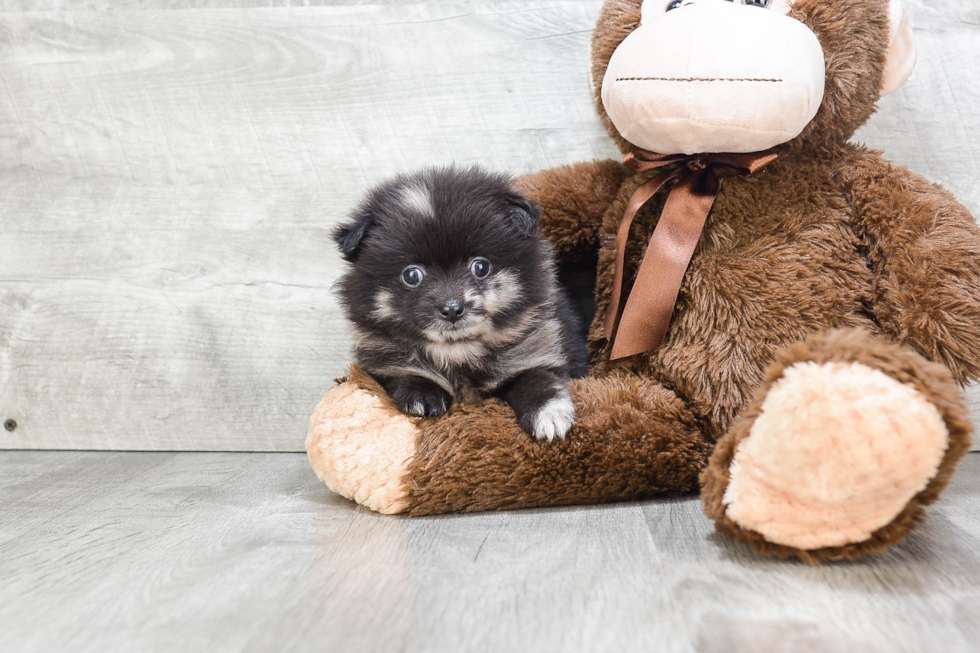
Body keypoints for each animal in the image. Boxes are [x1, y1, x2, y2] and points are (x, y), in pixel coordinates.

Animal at [330, 163, 588, 440]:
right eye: (411, 275)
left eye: (481, 267)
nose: (452, 309)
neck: (459, 354)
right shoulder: (384, 364)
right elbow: (406, 372)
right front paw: (423, 394)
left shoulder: (535, 351)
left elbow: (538, 378)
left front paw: (549, 412)